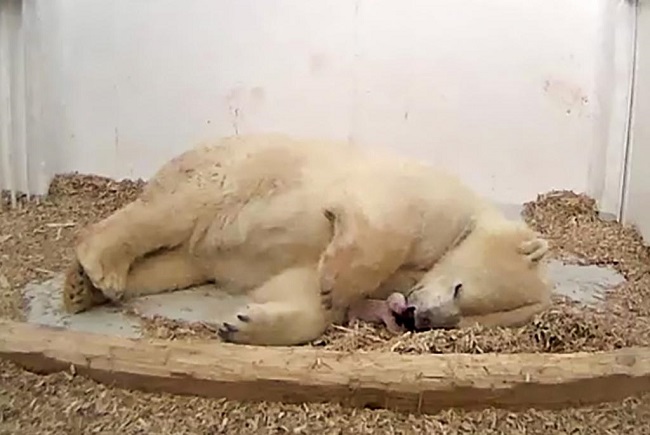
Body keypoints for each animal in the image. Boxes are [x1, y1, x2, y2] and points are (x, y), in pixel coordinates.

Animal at [62, 133, 552, 346]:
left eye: (463, 321)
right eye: (461, 290)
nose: (420, 318)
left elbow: (296, 284)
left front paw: (245, 324)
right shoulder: (423, 196)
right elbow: (380, 220)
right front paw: (337, 280)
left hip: (201, 246)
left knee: (176, 263)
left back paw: (81, 288)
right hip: (232, 176)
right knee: (173, 212)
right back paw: (101, 268)